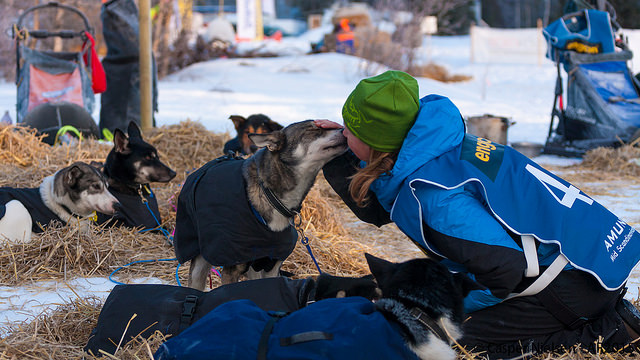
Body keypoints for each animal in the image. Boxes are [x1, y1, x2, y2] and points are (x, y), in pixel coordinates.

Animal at [172, 120, 348, 290]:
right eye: (314, 130)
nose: (344, 130)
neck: (271, 196)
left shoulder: (272, 263)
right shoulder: (231, 267)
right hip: (200, 259)